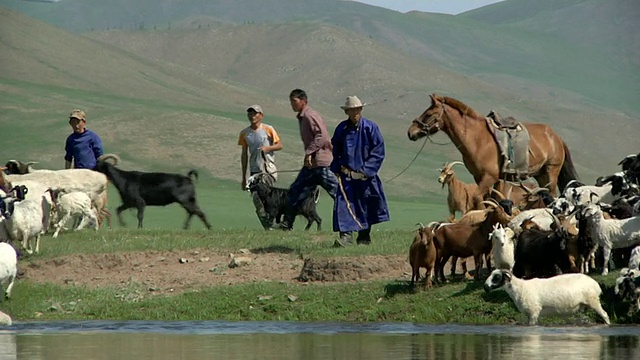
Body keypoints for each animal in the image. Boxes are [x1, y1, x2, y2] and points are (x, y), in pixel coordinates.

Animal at [410, 94, 580, 198]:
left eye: (429, 114)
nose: (411, 132)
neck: (477, 138)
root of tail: (557, 137)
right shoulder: (481, 177)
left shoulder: (488, 177)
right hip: (541, 174)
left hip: (551, 172)